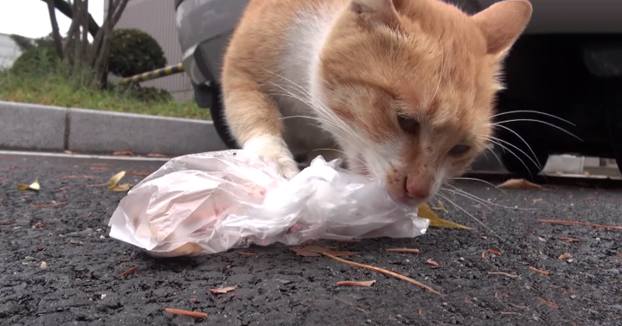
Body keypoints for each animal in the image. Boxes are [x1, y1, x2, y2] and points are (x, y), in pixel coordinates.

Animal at [219, 0, 532, 204]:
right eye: (405, 121)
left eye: (460, 148)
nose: (417, 193)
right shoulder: (240, 73)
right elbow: (254, 114)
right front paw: (274, 159)